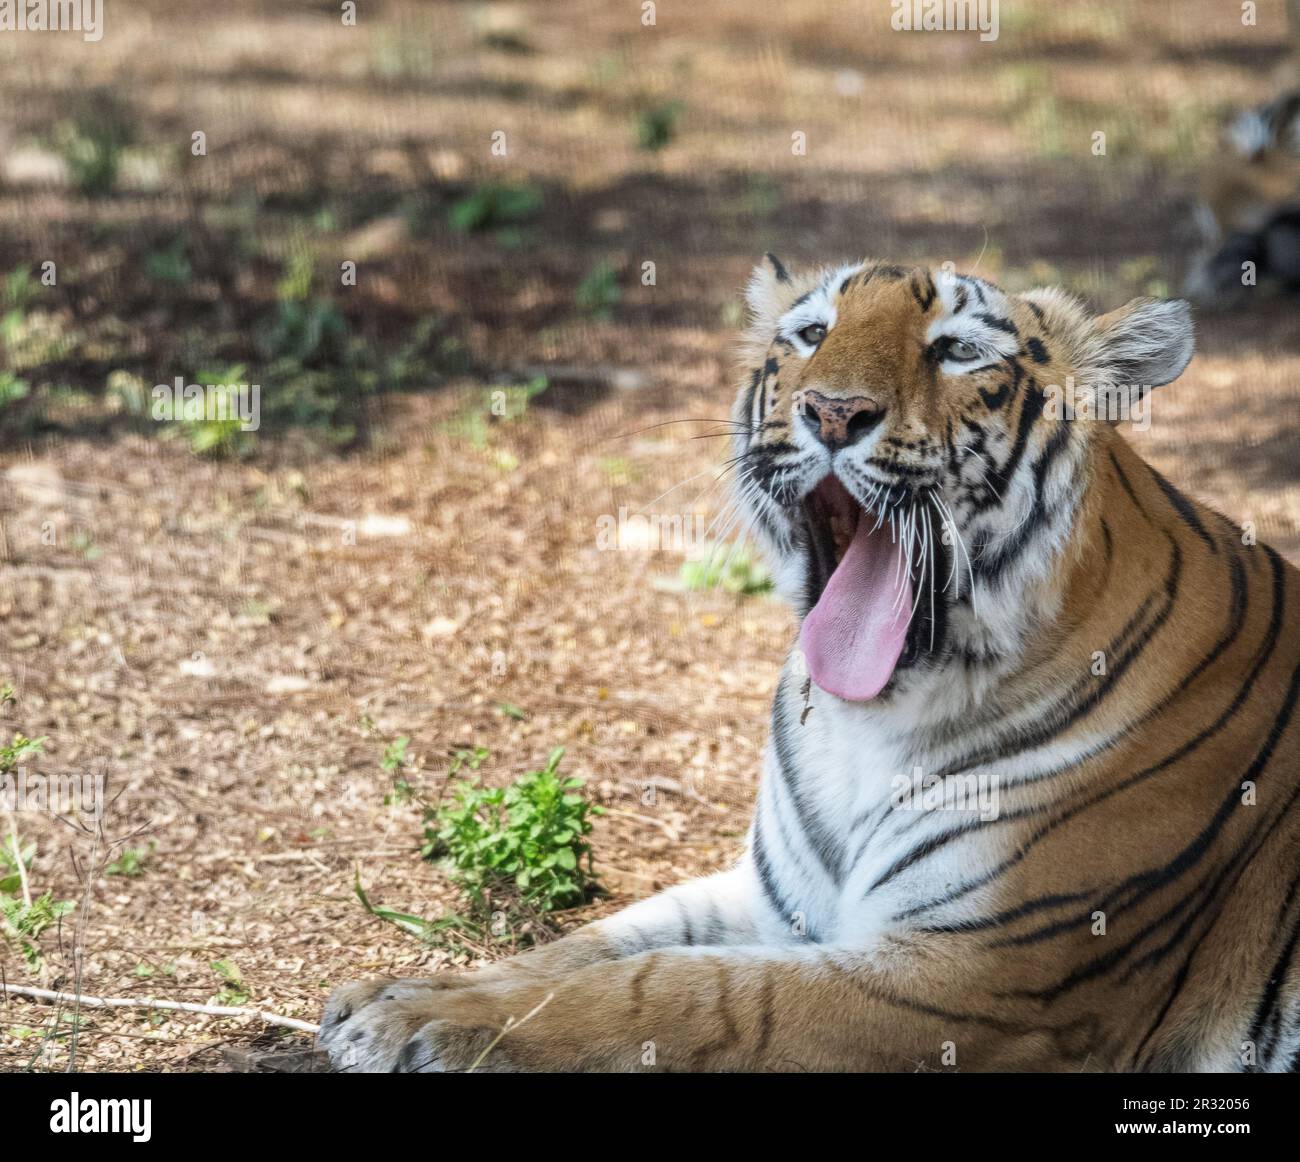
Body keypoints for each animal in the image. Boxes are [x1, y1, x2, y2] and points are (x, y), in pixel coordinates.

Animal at [317, 259, 1300, 1076]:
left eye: (957, 351)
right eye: (810, 333)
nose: (832, 412)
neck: (872, 725)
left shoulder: (979, 979)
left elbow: (683, 991)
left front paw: (430, 1024)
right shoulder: (777, 899)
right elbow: (597, 944)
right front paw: (406, 995)